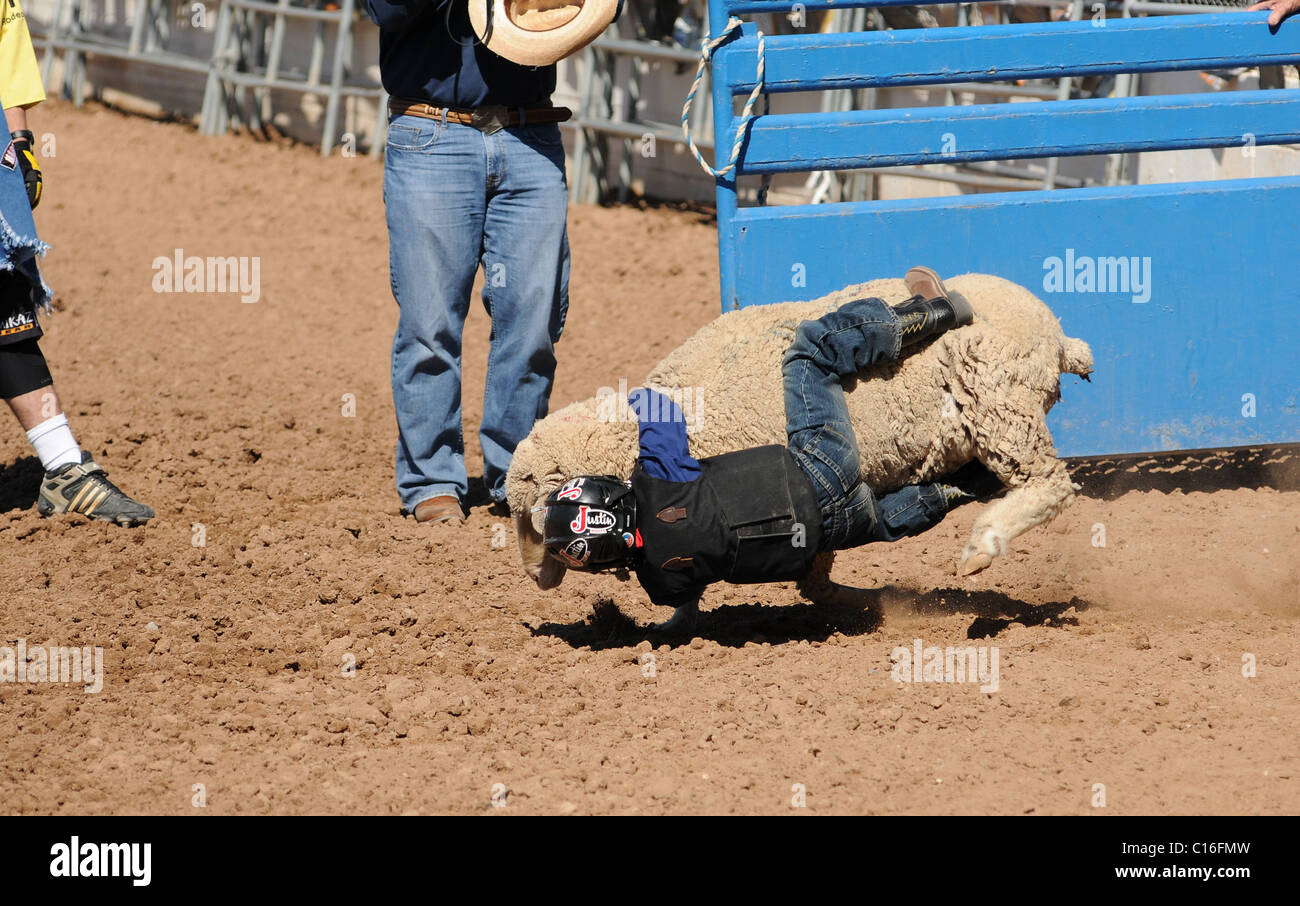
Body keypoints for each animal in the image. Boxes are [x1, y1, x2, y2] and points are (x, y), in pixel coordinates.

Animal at [501, 271, 1092, 603]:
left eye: (532, 515)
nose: (534, 579)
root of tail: (1058, 335)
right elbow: (818, 557)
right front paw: (832, 596)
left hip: (1002, 404)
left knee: (1051, 485)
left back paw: (980, 547)